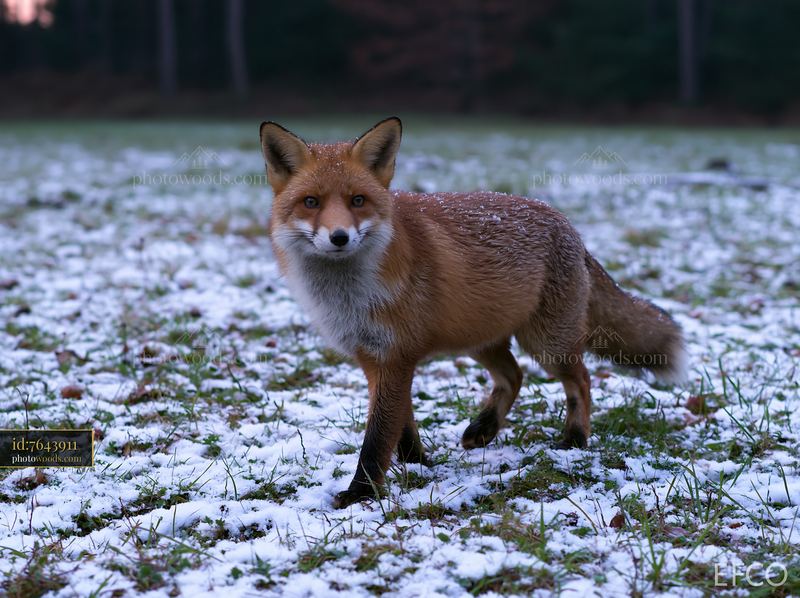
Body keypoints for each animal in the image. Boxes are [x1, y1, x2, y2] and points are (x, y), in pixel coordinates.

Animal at [259, 117, 687, 509]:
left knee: (580, 379)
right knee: (513, 377)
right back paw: (485, 428)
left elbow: (378, 436)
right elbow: (402, 424)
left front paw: (361, 492)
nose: (339, 237)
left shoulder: (395, 356)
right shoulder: (375, 359)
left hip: (547, 344)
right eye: (311, 202)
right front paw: (417, 463)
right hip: (479, 339)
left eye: (358, 201)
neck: (349, 296)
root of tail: (567, 225)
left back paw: (574, 439)